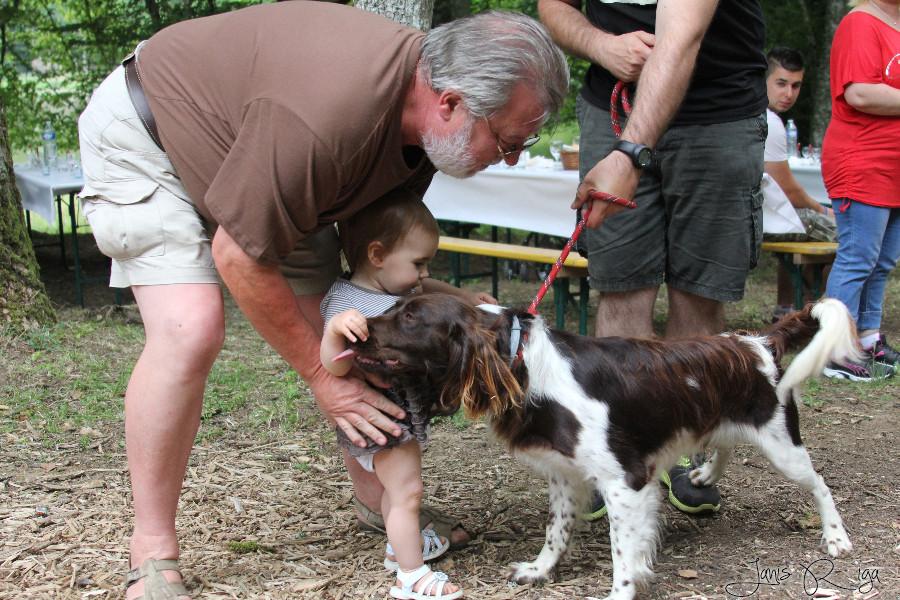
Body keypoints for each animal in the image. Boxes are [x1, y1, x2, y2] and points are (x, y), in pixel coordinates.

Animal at [346, 294, 860, 600]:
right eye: (397, 306)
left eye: (410, 317)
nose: (356, 329)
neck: (525, 364)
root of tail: (759, 341)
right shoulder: (564, 474)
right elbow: (557, 532)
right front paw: (539, 570)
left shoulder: (625, 481)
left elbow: (623, 554)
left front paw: (620, 591)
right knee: (725, 445)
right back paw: (704, 475)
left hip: (783, 446)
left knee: (820, 484)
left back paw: (836, 537)